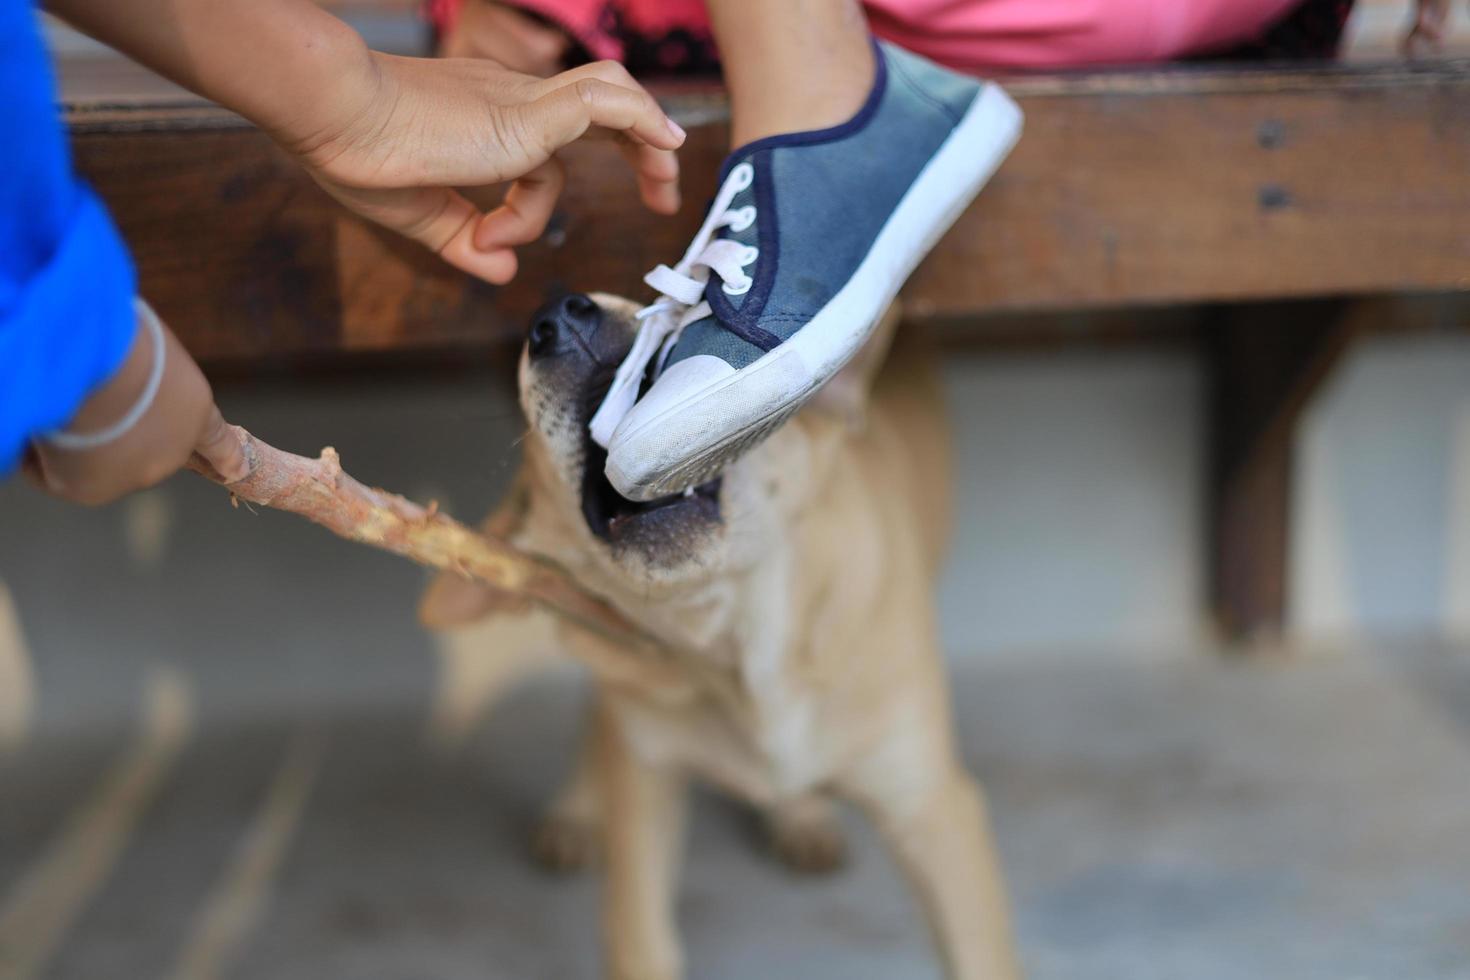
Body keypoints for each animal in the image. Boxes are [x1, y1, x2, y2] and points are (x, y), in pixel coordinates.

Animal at [420, 293, 1017, 980]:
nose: (559, 315)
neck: (737, 648)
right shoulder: (645, 789)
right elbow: (640, 939)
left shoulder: (936, 808)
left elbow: (980, 955)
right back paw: (579, 808)